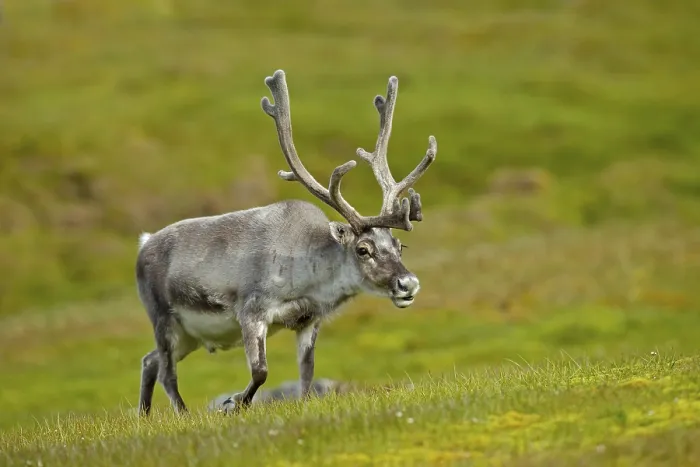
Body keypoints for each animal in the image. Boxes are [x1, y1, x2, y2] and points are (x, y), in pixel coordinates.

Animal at [135, 69, 437, 416]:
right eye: (364, 250)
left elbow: (307, 373)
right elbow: (260, 371)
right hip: (163, 319)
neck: (307, 279)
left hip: (189, 335)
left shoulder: (308, 321)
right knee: (166, 372)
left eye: (400, 246)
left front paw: (301, 402)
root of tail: (143, 243)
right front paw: (235, 402)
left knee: (149, 361)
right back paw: (181, 413)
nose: (408, 283)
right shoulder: (251, 310)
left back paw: (144, 416)